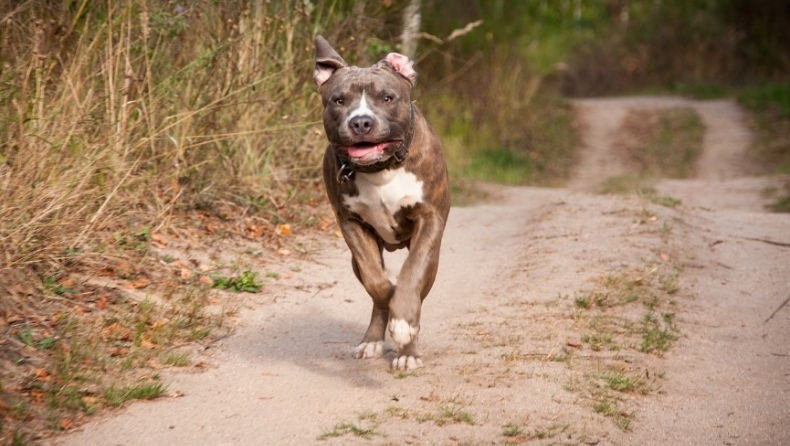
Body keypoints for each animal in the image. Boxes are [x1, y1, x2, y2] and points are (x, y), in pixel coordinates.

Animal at [316, 36, 452, 370]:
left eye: (388, 98)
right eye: (339, 100)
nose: (361, 122)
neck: (381, 169)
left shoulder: (429, 219)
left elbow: (412, 274)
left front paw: (404, 325)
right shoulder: (351, 224)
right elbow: (376, 282)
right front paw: (389, 298)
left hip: (433, 257)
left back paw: (407, 350)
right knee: (376, 288)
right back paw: (373, 339)